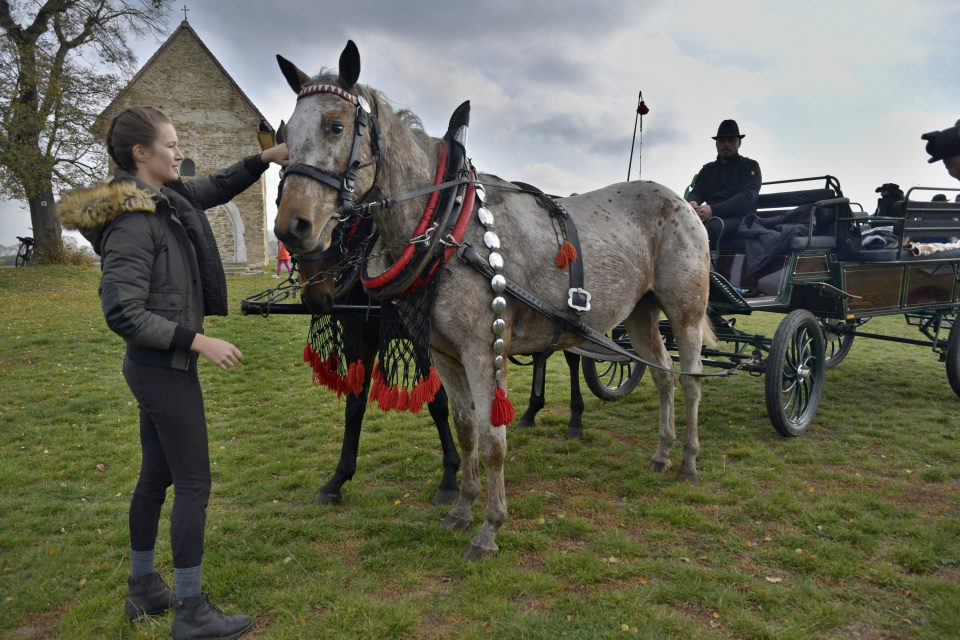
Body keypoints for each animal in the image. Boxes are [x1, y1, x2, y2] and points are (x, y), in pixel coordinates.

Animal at [270, 42, 712, 556]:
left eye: (336, 126)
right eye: (285, 141)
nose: (291, 227)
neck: (444, 227)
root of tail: (683, 203)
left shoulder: (483, 351)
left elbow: (492, 438)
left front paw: (490, 527)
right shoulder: (444, 354)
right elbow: (464, 430)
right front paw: (462, 507)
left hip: (685, 310)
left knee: (690, 380)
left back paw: (688, 463)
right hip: (640, 313)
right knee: (661, 377)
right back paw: (662, 454)